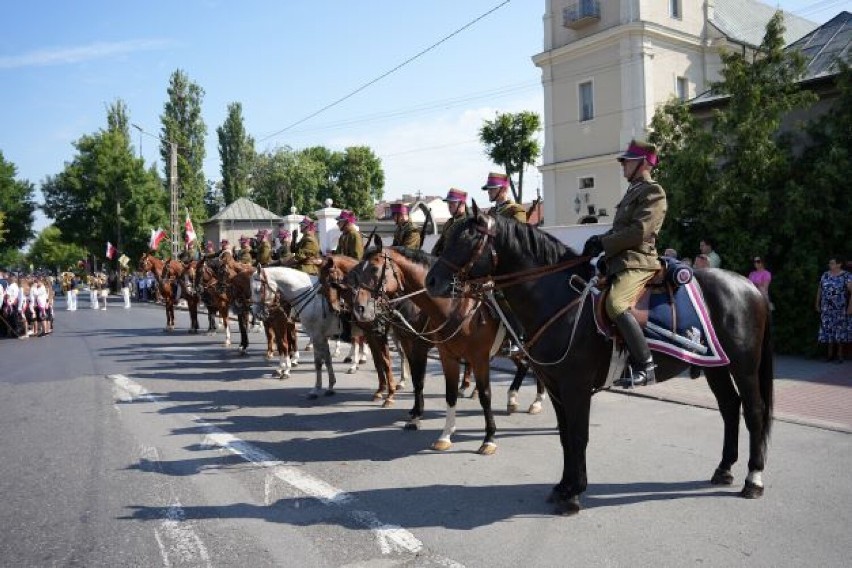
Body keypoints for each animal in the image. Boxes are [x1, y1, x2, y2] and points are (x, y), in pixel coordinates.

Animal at [253, 268, 342, 398]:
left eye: (257, 289)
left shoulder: (313, 334)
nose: (254, 312)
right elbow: (326, 359)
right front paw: (330, 386)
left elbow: (316, 361)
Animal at [422, 207, 776, 516]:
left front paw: (574, 494)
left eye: (466, 239)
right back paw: (724, 469)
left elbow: (579, 436)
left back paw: (754, 479)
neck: (558, 298)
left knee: (754, 412)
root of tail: (749, 286)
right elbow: (566, 436)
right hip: (716, 367)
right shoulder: (556, 387)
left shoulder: (575, 386)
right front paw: (564, 487)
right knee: (729, 408)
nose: (431, 281)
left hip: (744, 367)